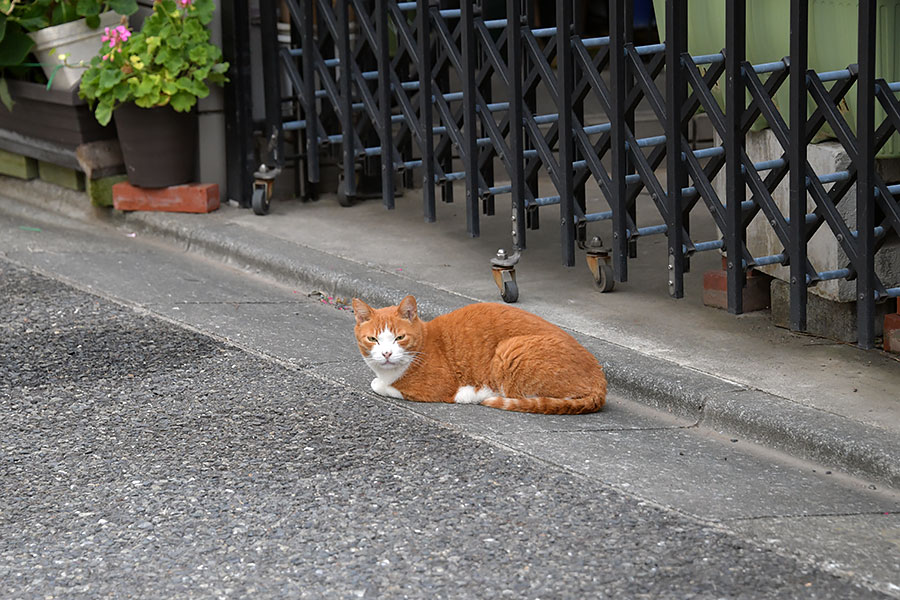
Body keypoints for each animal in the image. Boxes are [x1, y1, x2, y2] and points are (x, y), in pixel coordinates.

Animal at [352, 294, 604, 414]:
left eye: (399, 338)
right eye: (373, 339)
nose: (386, 353)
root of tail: (600, 377)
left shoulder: (434, 387)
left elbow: (380, 386)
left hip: (509, 350)